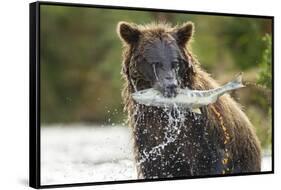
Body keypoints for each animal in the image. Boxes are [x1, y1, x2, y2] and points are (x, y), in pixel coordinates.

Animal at [116, 21, 260, 180]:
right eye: (155, 63)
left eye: (175, 62)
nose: (171, 85)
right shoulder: (148, 138)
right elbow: (154, 165)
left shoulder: (201, 134)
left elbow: (207, 161)